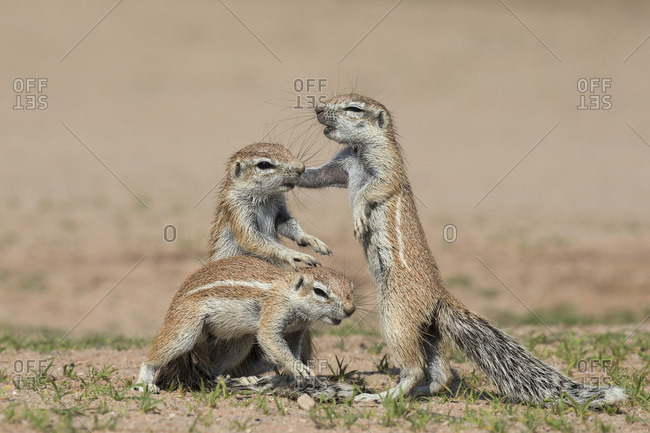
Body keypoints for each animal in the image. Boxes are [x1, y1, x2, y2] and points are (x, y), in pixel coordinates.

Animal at [134, 255, 356, 394]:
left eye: (351, 288)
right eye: (319, 292)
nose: (350, 309)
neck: (288, 292)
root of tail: (172, 305)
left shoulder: (296, 331)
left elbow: (291, 349)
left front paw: (295, 374)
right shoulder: (274, 311)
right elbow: (269, 338)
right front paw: (299, 369)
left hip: (241, 340)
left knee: (214, 371)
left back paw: (239, 379)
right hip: (186, 327)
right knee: (157, 353)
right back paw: (144, 382)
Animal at [207, 142, 332, 271]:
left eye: (286, 150)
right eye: (264, 164)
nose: (301, 168)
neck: (265, 198)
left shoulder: (280, 206)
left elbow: (287, 223)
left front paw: (310, 238)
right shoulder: (236, 207)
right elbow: (250, 237)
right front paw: (295, 254)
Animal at [296, 93, 627, 407]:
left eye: (353, 108)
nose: (318, 108)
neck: (357, 151)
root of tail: (439, 294)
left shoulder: (388, 166)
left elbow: (375, 189)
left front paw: (358, 217)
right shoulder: (340, 165)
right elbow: (315, 177)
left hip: (396, 313)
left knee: (413, 367)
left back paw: (381, 397)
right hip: (427, 327)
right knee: (441, 371)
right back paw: (423, 391)